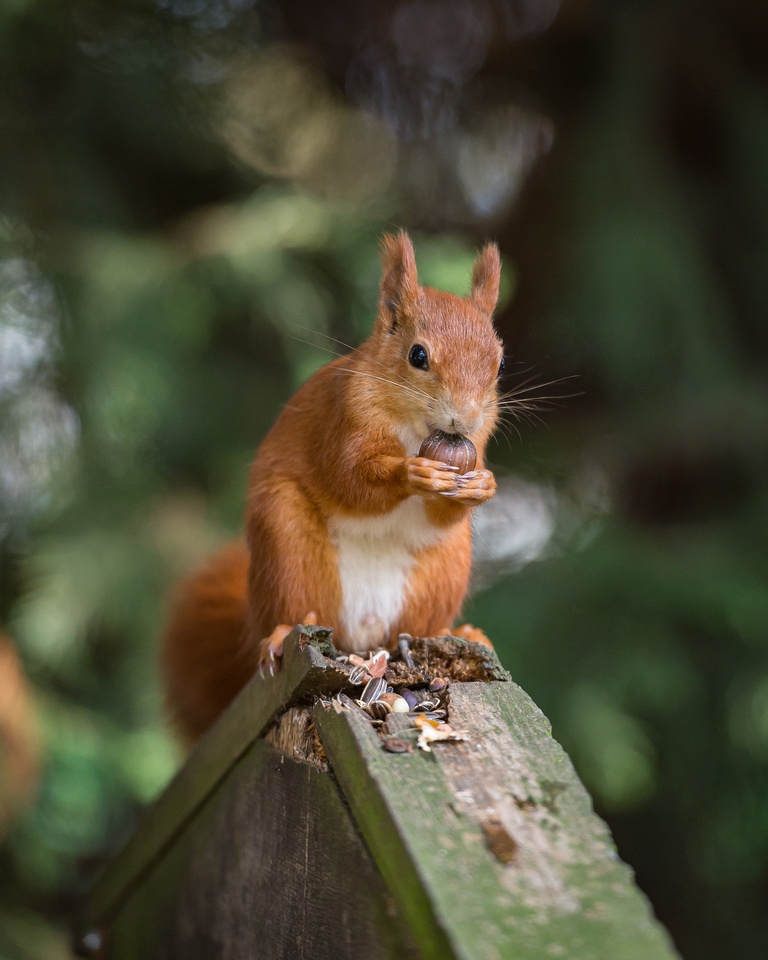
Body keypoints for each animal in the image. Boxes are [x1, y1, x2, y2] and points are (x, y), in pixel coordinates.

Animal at [160, 231, 504, 744]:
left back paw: (464, 633)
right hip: (288, 547)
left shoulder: (475, 446)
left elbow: (446, 507)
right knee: (291, 614)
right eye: (418, 355)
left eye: (499, 365)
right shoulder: (342, 421)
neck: (413, 429)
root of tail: (362, 635)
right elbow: (352, 479)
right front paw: (411, 473)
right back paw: (280, 634)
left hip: (443, 568)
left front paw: (482, 485)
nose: (464, 419)